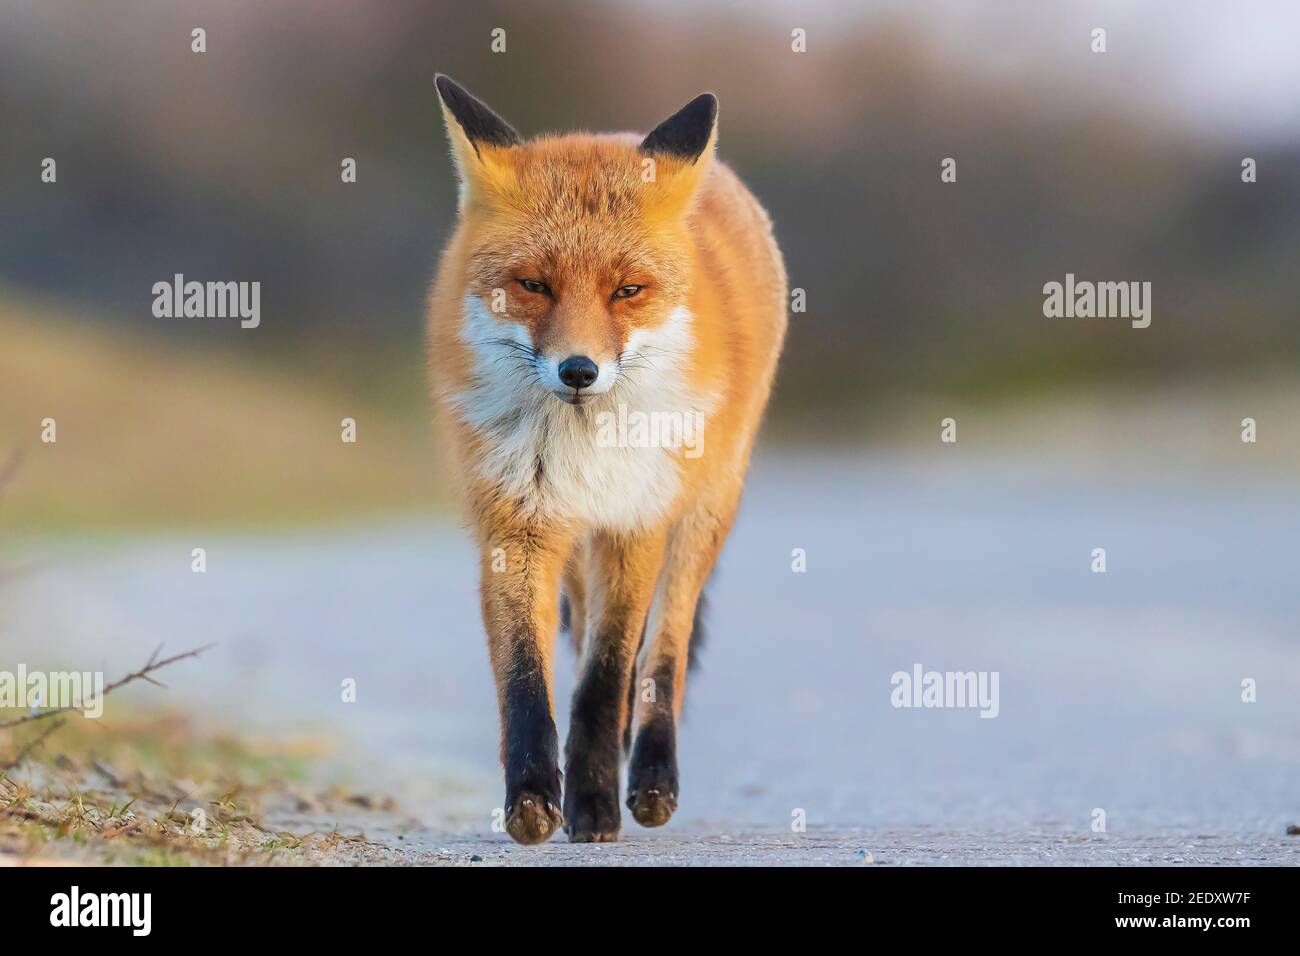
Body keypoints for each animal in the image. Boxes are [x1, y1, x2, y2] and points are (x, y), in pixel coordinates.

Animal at [427, 75, 787, 844]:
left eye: (627, 291)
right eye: (533, 285)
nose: (579, 370)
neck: (583, 446)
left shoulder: (635, 522)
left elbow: (606, 674)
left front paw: (593, 801)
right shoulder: (517, 525)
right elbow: (525, 679)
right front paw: (534, 799)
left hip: (703, 513)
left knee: (664, 653)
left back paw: (650, 774)